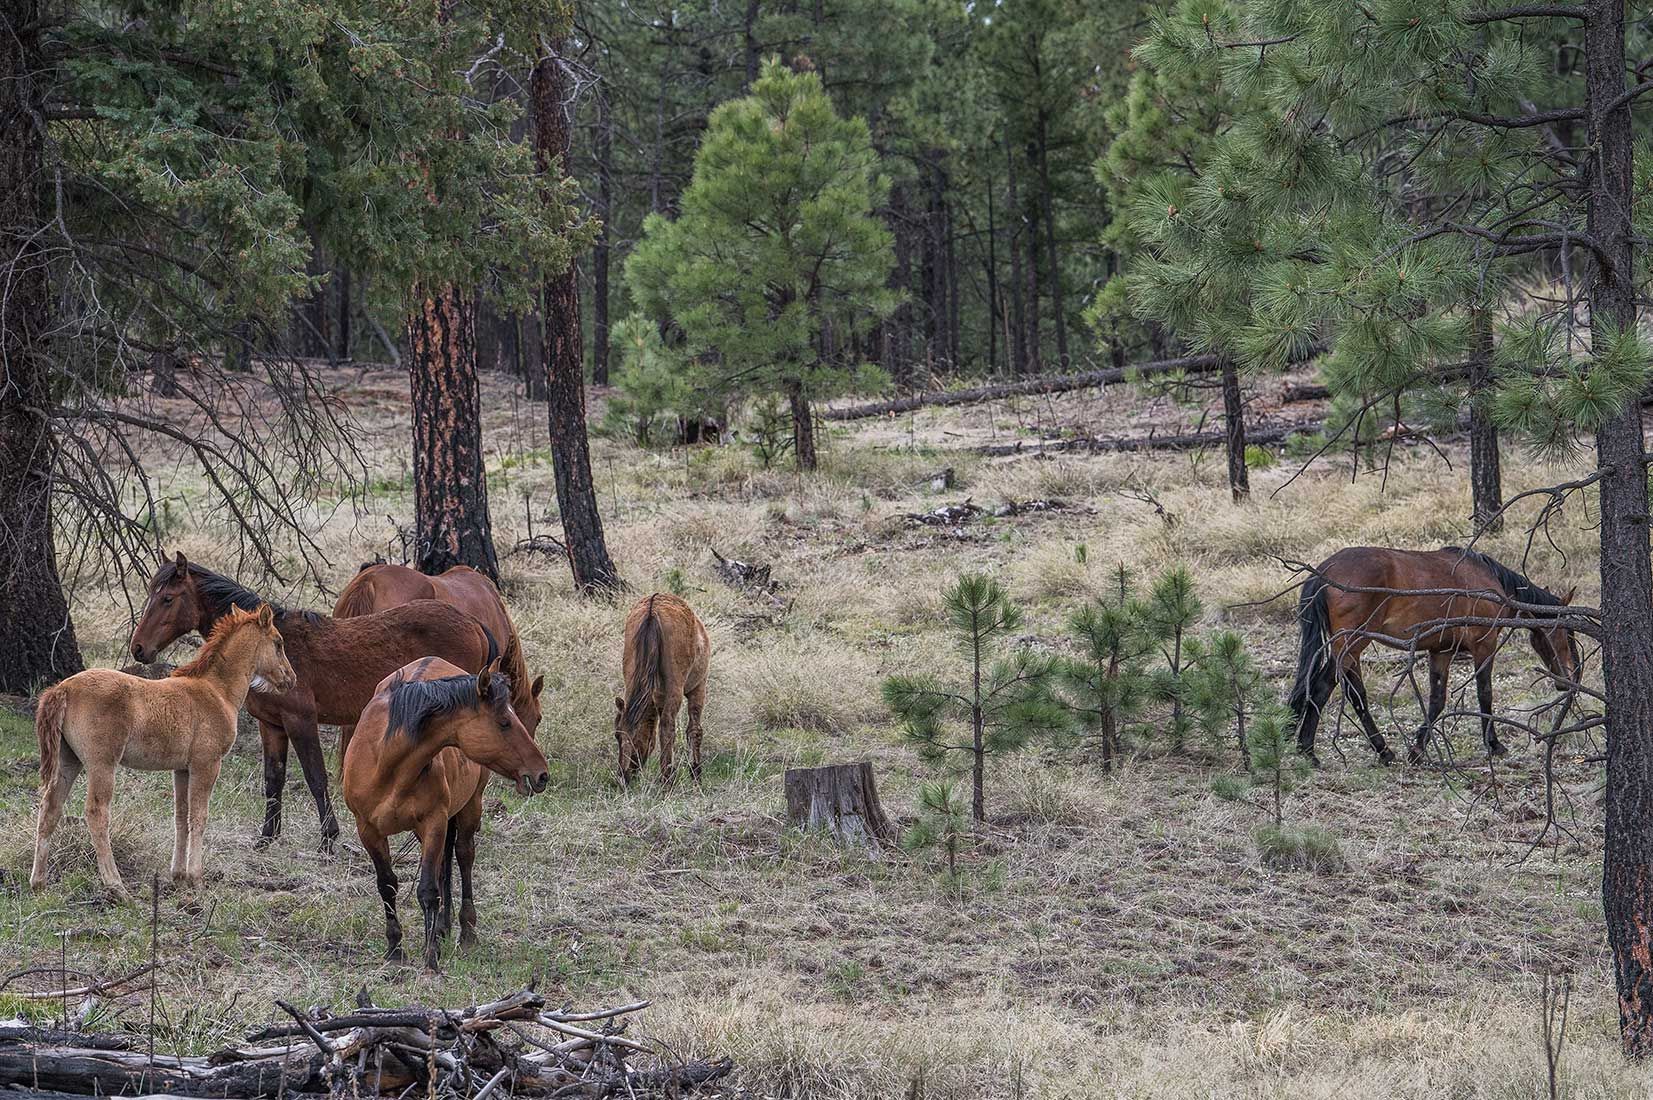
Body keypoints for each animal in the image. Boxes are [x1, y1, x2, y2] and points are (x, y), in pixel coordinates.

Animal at [32, 605, 297, 900]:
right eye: (279, 643)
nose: (291, 679)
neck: (217, 691)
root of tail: (63, 688)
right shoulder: (207, 764)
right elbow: (199, 817)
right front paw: (196, 879)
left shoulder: (181, 769)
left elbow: (181, 817)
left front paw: (178, 876)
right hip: (102, 764)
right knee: (96, 813)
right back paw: (116, 886)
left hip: (69, 760)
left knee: (50, 808)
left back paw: (39, 883)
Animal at [130, 552, 500, 849]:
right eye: (150, 593)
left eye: (167, 599)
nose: (138, 648)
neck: (272, 649)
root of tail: (474, 624)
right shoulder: (271, 726)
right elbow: (274, 779)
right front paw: (268, 836)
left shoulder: (301, 720)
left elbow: (315, 776)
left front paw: (328, 838)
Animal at [343, 657, 549, 971]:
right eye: (504, 722)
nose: (542, 774)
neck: (386, 762)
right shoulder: (368, 829)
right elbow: (387, 884)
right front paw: (395, 948)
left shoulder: (434, 824)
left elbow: (428, 890)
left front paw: (430, 958)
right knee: (444, 864)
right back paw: (442, 929)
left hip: (470, 807)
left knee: (463, 855)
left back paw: (465, 932)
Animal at [614, 593, 711, 785]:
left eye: (616, 736)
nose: (624, 776)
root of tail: (652, 611)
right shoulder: (699, 687)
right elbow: (694, 729)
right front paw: (696, 773)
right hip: (676, 686)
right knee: (667, 726)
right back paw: (668, 779)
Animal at [1288, 546, 1581, 765]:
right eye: (1568, 633)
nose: (1569, 678)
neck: (1488, 580)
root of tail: (1323, 572)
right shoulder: (1484, 646)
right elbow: (1485, 694)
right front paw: (1494, 744)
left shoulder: (1441, 651)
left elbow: (1436, 701)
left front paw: (1417, 750)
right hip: (1351, 645)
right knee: (1323, 688)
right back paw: (1311, 750)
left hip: (1350, 650)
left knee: (1352, 694)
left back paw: (1377, 750)